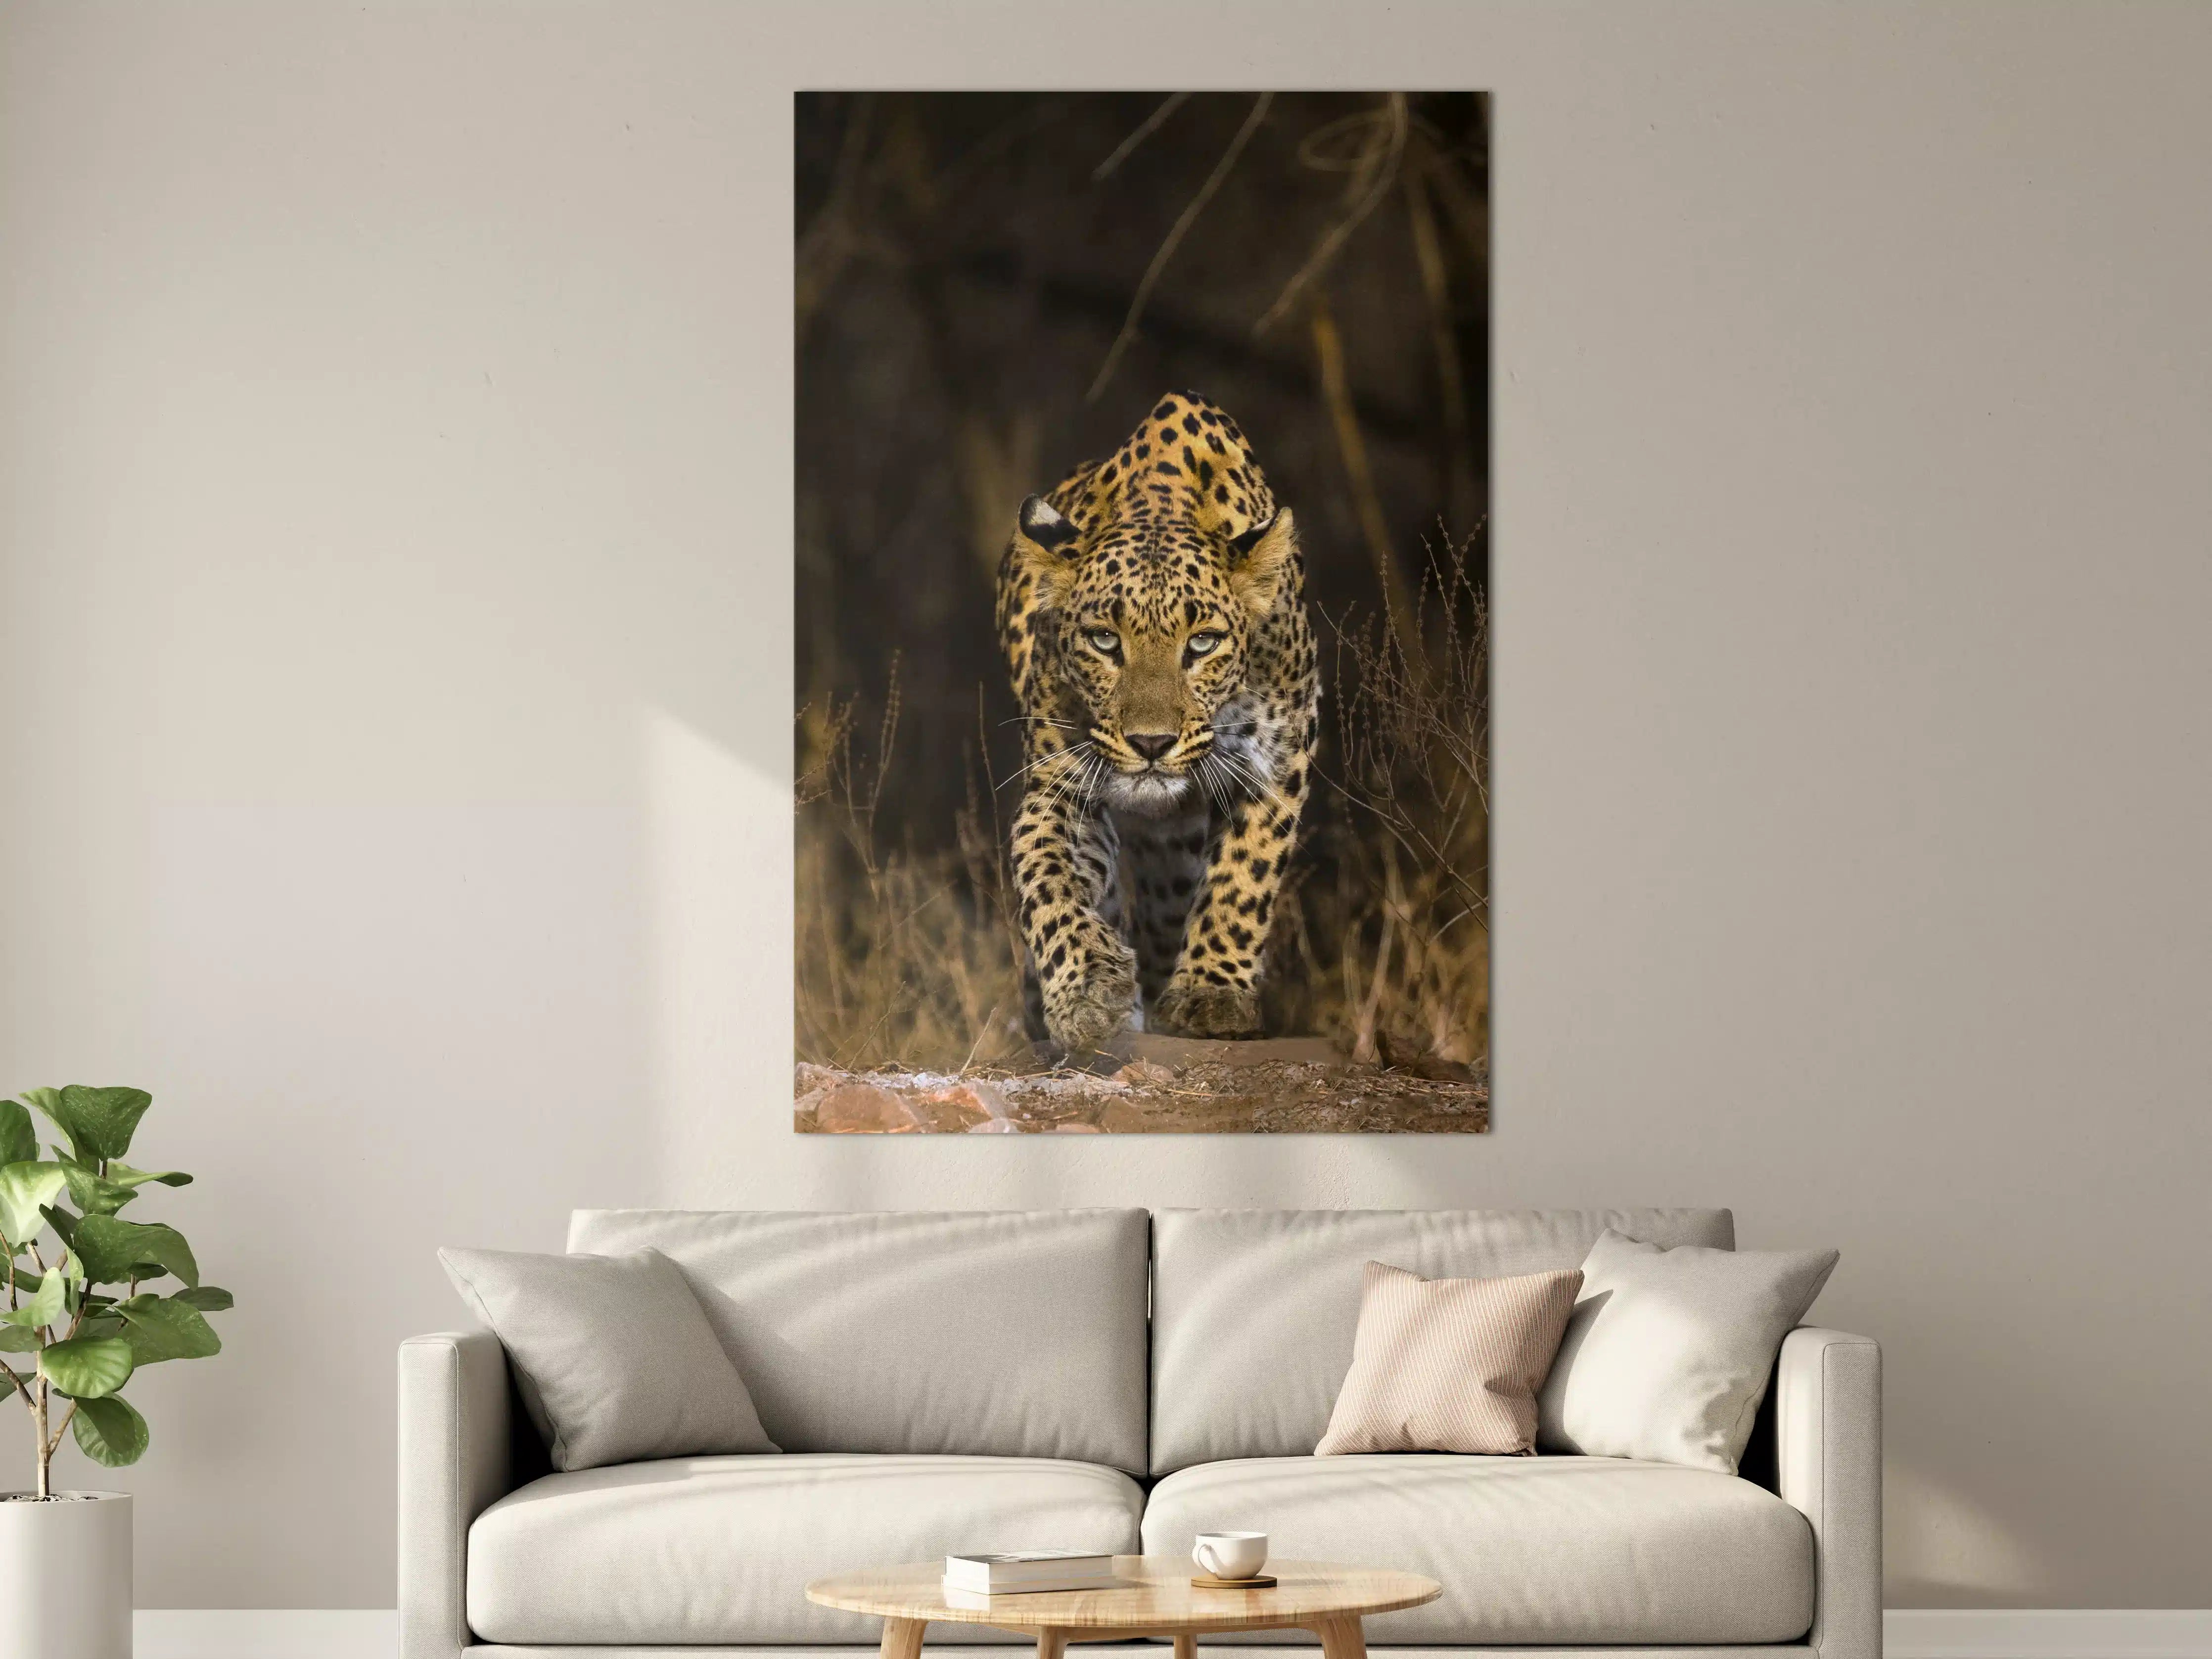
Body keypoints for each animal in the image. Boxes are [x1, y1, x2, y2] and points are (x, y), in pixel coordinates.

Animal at [995, 390, 1320, 1053]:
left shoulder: (1279, 758)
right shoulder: (1061, 784)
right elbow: (1045, 871)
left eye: (1201, 643)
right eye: (1103, 640)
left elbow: (1243, 875)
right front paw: (1086, 989)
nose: (1151, 744)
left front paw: (1211, 994)